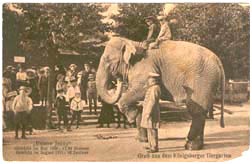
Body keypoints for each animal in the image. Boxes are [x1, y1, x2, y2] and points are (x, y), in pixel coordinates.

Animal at [96, 36, 224, 150]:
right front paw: (141, 138)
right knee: (200, 112)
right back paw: (197, 146)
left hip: (202, 81)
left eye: (107, 60)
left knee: (196, 110)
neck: (132, 42)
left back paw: (190, 146)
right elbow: (142, 103)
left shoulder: (144, 69)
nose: (118, 80)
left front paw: (132, 117)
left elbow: (141, 91)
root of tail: (218, 61)